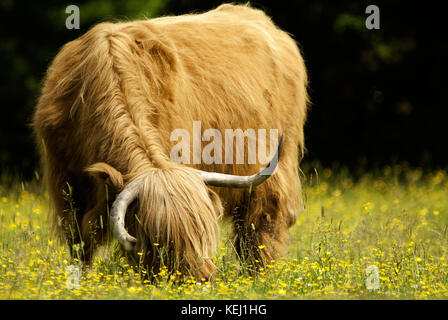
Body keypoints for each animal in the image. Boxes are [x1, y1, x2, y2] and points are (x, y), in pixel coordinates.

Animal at [33, 4, 310, 280]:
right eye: (159, 240)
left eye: (202, 233)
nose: (201, 277)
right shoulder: (66, 188)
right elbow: (81, 244)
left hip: (275, 169)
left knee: (260, 225)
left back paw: (258, 276)